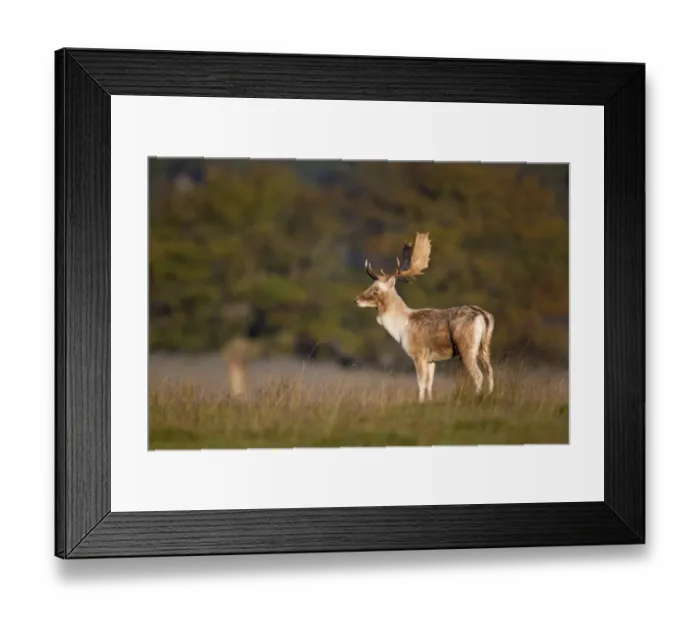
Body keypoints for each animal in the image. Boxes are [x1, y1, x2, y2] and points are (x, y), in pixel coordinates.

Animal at [354, 232, 494, 402]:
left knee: (478, 375)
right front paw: (429, 401)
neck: (402, 327)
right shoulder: (431, 359)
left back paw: (477, 397)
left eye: (375, 289)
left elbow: (420, 383)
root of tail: (482, 315)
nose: (356, 300)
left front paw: (420, 402)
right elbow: (429, 384)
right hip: (485, 345)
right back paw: (489, 395)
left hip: (467, 347)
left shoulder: (419, 354)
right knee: (490, 372)